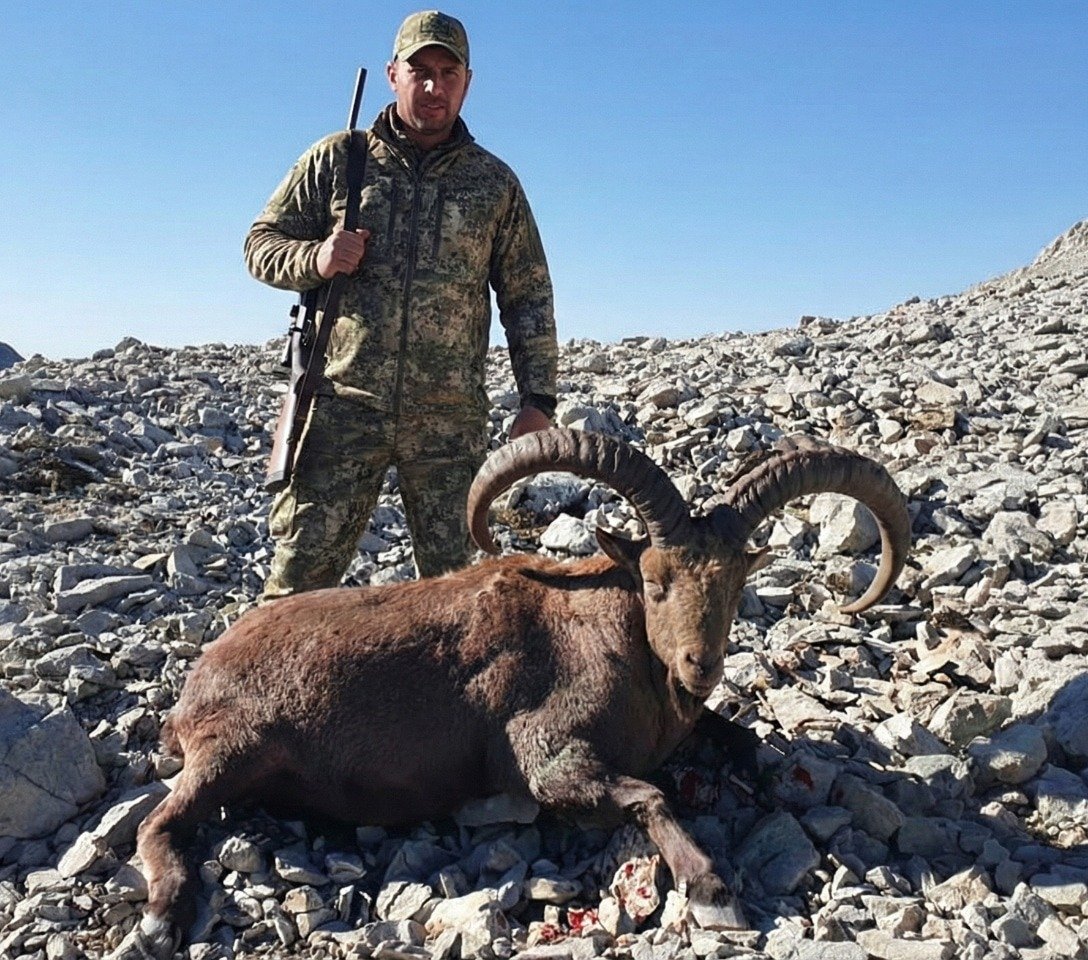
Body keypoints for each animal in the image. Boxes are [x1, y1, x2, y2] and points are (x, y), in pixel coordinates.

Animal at [122, 429, 910, 957]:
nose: (698, 667)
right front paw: (714, 892)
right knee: (156, 825)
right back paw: (161, 918)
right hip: (232, 749)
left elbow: (745, 743)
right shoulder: (546, 755)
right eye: (655, 580)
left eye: (736, 582)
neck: (611, 637)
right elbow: (648, 795)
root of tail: (191, 690)